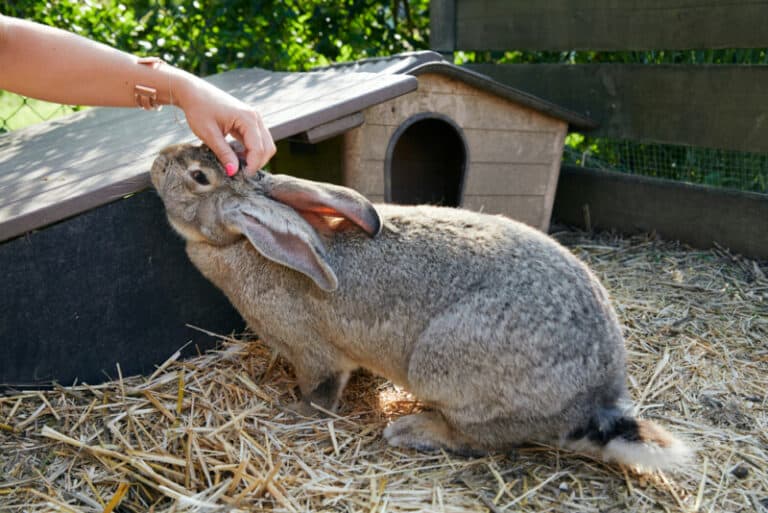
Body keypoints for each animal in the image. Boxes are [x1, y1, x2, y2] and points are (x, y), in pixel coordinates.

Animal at [150, 142, 691, 469]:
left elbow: (320, 390)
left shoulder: (312, 353)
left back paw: (412, 429)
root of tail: (594, 401)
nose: (157, 160)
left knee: (485, 439)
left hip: (445, 368)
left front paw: (295, 412)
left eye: (197, 176)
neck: (240, 242)